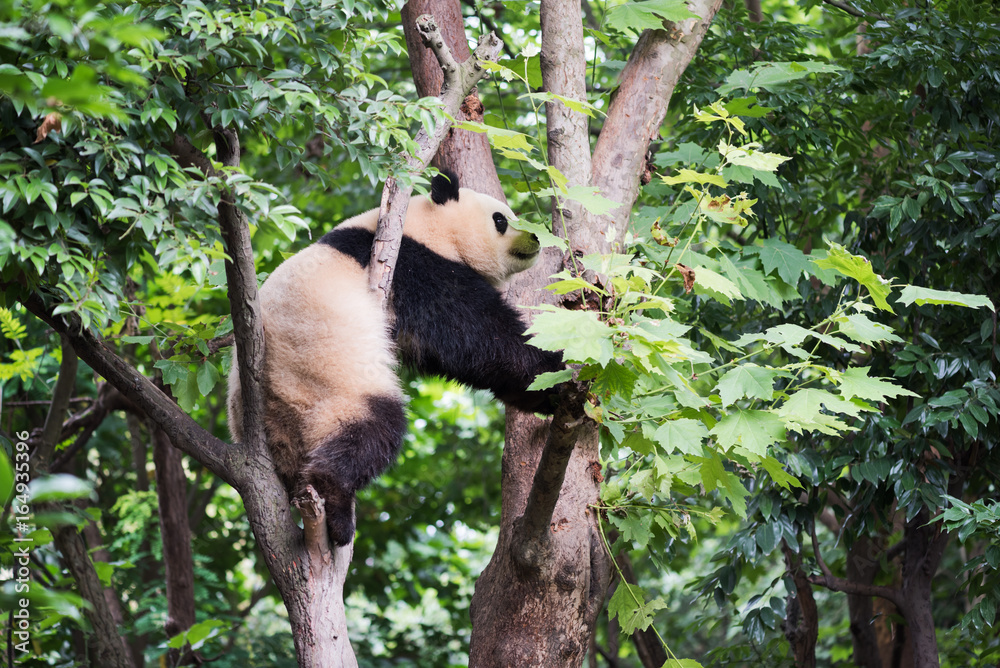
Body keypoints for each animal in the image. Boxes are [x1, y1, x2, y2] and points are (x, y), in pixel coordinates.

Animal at [227, 171, 564, 546]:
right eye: (500, 220)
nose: (535, 238)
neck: (422, 225)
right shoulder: (414, 265)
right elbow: (476, 332)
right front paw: (557, 371)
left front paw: (543, 395)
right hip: (324, 385)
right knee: (372, 429)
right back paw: (337, 508)